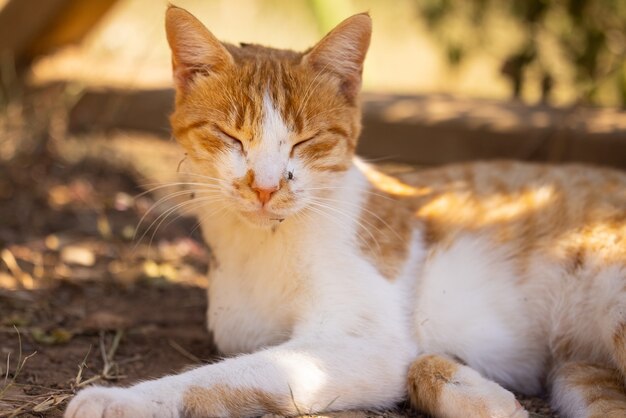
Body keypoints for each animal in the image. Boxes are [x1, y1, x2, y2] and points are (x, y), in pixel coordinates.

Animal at [63, 4, 624, 418]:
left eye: (304, 141)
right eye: (231, 137)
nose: (265, 187)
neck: (263, 246)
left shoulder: (360, 342)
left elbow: (234, 375)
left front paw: (120, 400)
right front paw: (478, 395)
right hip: (578, 370)